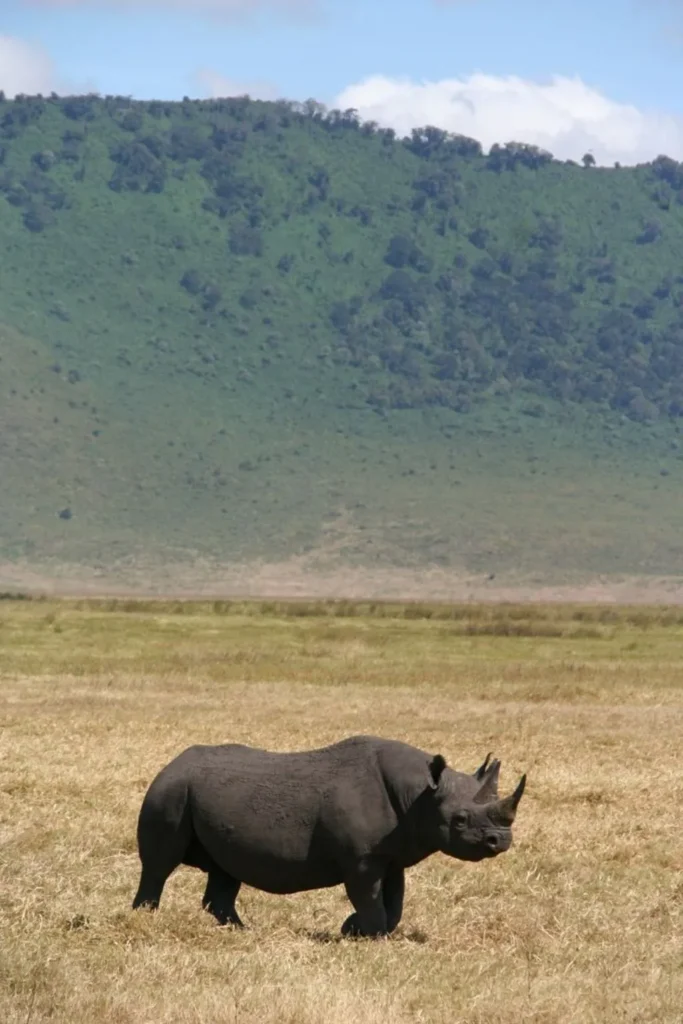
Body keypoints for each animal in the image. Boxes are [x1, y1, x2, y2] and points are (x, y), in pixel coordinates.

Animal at [132, 735, 526, 938]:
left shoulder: (392, 855)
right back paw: (145, 919)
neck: (419, 794)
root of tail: (171, 762)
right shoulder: (362, 859)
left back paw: (243, 931)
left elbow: (395, 900)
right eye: (459, 820)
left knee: (226, 869)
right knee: (159, 864)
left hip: (201, 795)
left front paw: (359, 930)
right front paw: (366, 935)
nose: (501, 840)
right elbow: (369, 897)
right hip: (170, 791)